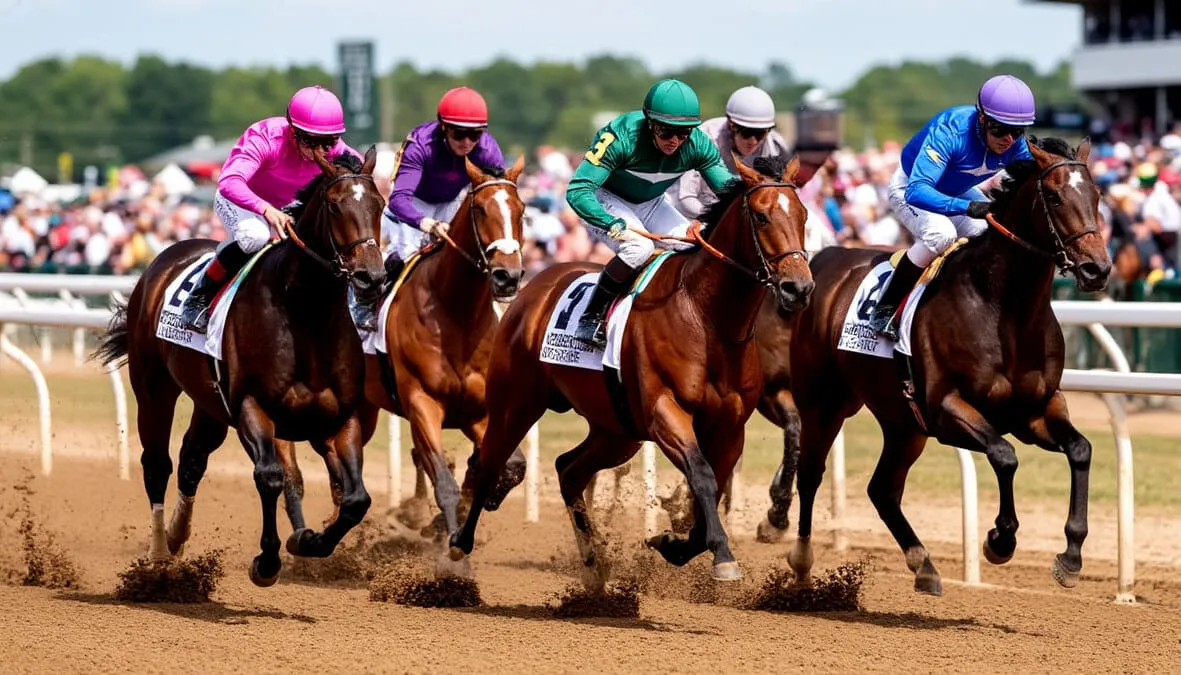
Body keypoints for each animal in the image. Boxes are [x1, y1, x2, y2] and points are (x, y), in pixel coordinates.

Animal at [94, 148, 386, 586]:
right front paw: (267, 561)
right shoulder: (253, 406)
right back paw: (159, 557)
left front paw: (309, 541)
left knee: (192, 459)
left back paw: (178, 537)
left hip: (210, 404)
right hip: (154, 388)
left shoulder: (340, 418)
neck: (306, 315)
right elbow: (271, 477)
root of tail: (159, 263)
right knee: (158, 464)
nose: (372, 278)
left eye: (380, 205)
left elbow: (355, 498)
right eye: (335, 206)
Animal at [446, 154, 816, 589]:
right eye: (761, 216)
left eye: (803, 214)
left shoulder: (729, 427)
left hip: (616, 430)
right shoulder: (664, 411)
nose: (798, 289)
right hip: (515, 403)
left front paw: (673, 544)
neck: (707, 317)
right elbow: (703, 477)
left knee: (569, 470)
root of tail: (534, 285)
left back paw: (593, 565)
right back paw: (458, 543)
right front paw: (722, 556)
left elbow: (713, 486)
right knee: (489, 462)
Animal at [779, 137, 1110, 595]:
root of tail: (823, 258)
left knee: (882, 489)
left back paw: (924, 565)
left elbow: (1080, 449)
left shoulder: (1035, 411)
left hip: (901, 422)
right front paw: (1000, 539)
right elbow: (1005, 455)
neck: (1004, 309)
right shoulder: (945, 409)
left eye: (1096, 196)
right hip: (824, 402)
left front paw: (1071, 556)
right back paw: (801, 563)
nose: (1097, 268)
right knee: (811, 473)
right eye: (1056, 196)